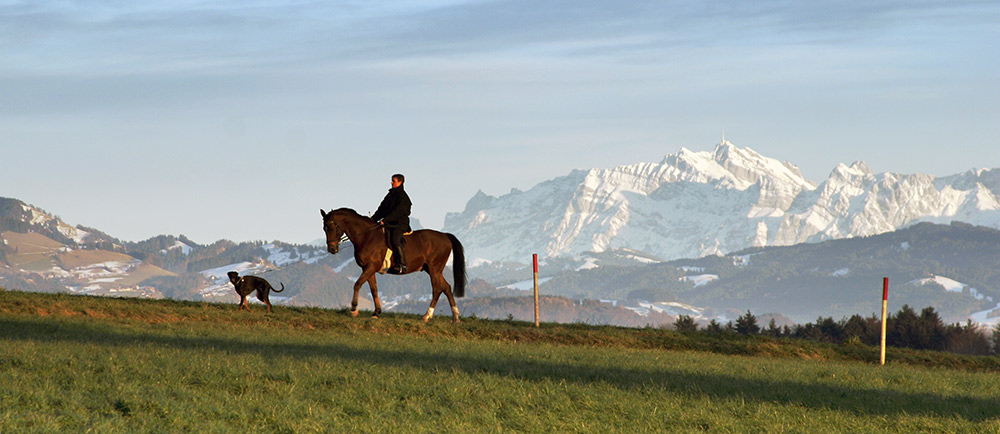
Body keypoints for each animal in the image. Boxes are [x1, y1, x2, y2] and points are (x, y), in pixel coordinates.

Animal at [318, 207, 466, 322]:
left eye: (331, 227)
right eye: (324, 228)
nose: (332, 249)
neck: (367, 237)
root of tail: (445, 236)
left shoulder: (370, 267)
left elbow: (357, 284)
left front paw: (354, 309)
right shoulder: (368, 268)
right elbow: (374, 289)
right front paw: (376, 312)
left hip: (434, 269)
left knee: (437, 289)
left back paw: (427, 316)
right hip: (433, 270)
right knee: (446, 288)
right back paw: (455, 317)